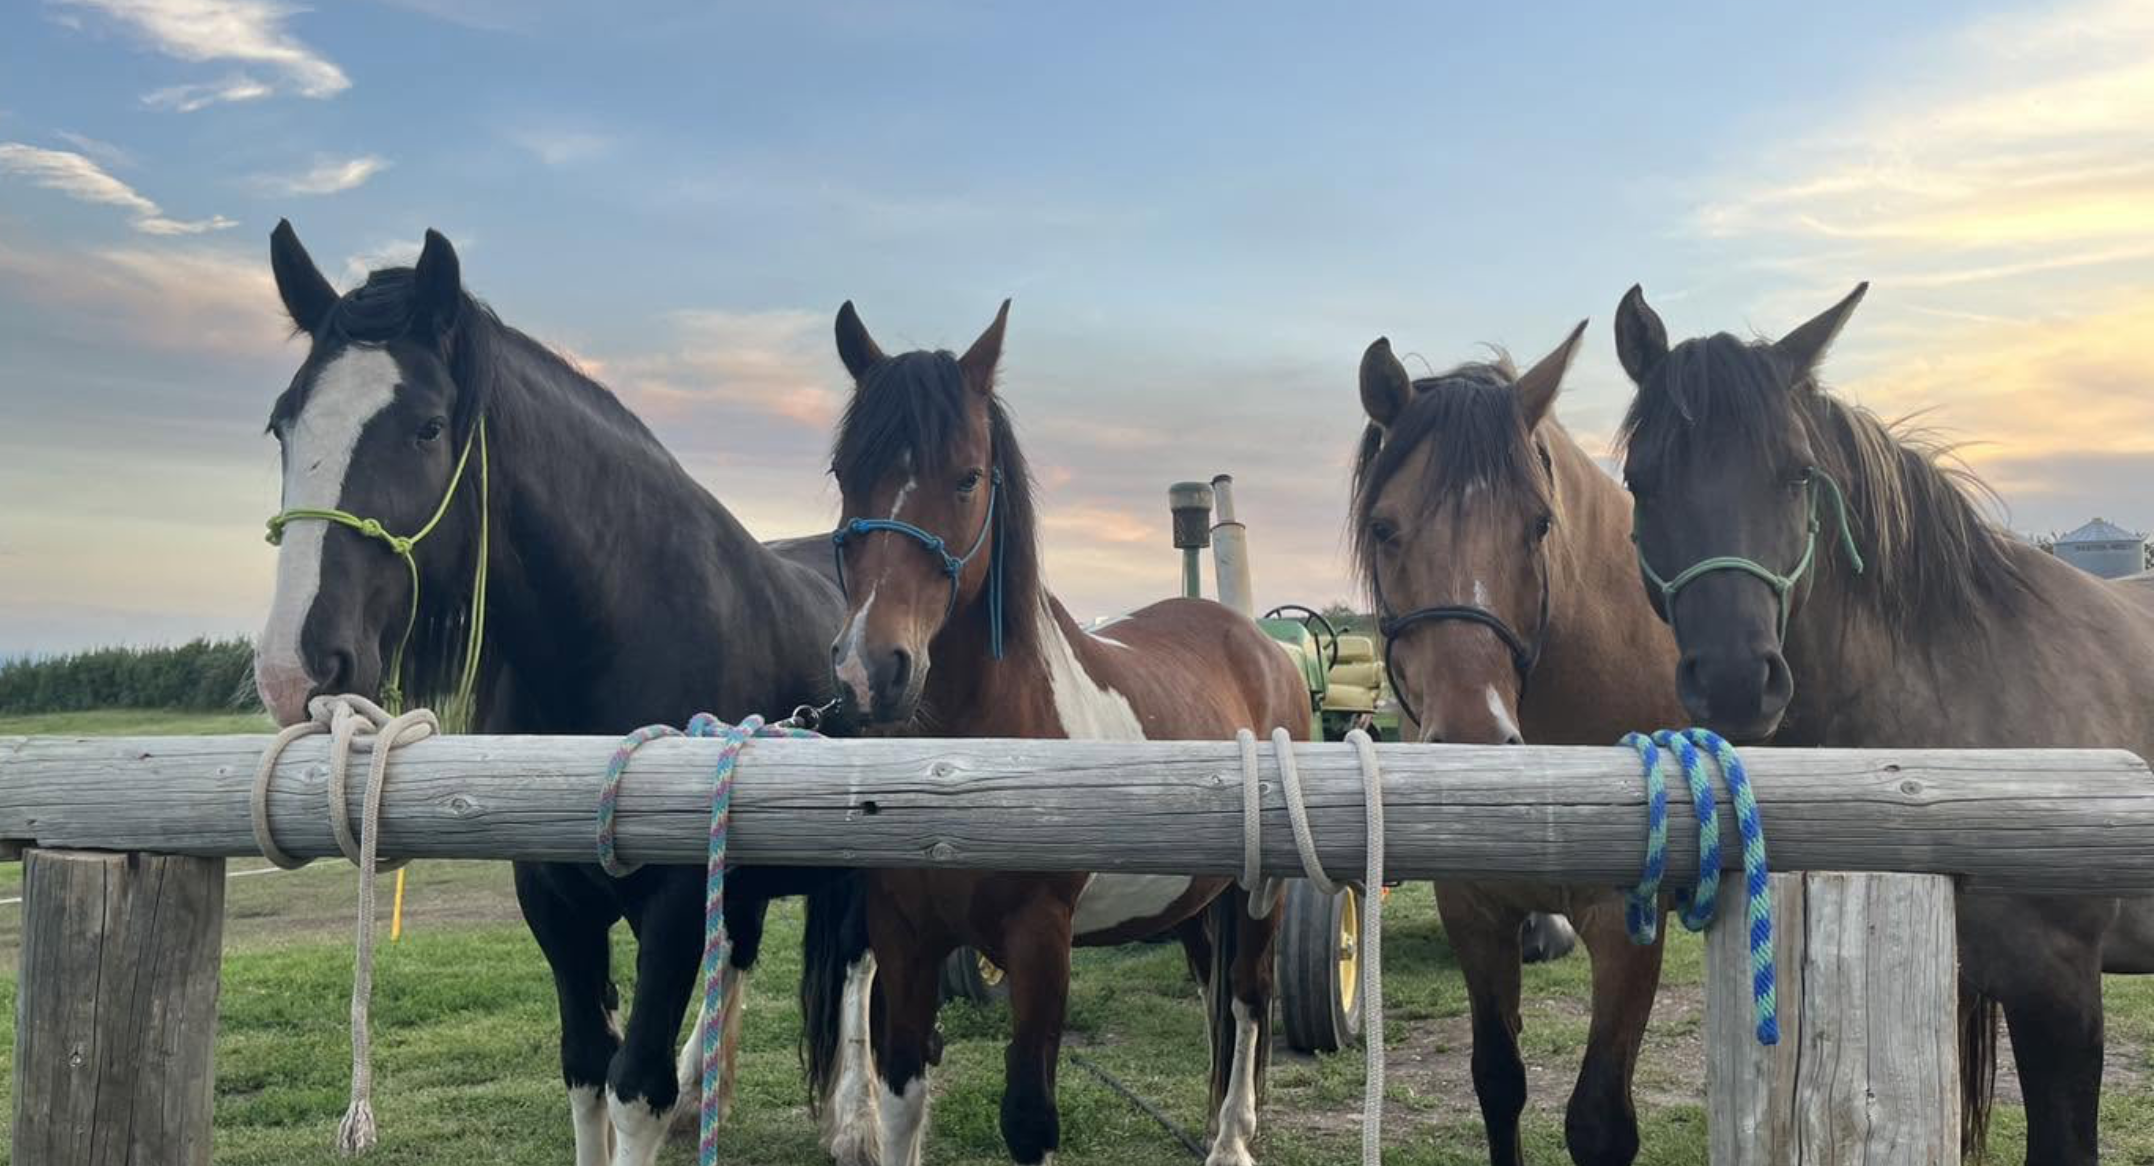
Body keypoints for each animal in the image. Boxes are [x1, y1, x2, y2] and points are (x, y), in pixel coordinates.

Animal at [250, 222, 882, 1166]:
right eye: (282, 425)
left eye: (427, 428)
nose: (294, 668)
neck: (622, 632)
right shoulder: (552, 903)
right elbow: (587, 1070)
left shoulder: (667, 909)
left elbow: (635, 1088)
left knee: (857, 969)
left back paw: (855, 1121)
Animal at [819, 300, 1312, 1166]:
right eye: (846, 472)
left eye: (967, 476)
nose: (869, 672)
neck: (966, 766)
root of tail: (1263, 643)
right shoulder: (905, 937)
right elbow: (902, 1089)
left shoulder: (1040, 943)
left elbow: (1028, 1116)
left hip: (1260, 895)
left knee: (1249, 1001)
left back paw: (1231, 1139)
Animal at [1351, 325, 1684, 1165]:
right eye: (1384, 527)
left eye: (1539, 524)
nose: (1475, 741)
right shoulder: (1472, 908)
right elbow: (1498, 1081)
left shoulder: (1626, 922)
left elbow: (1599, 1122)